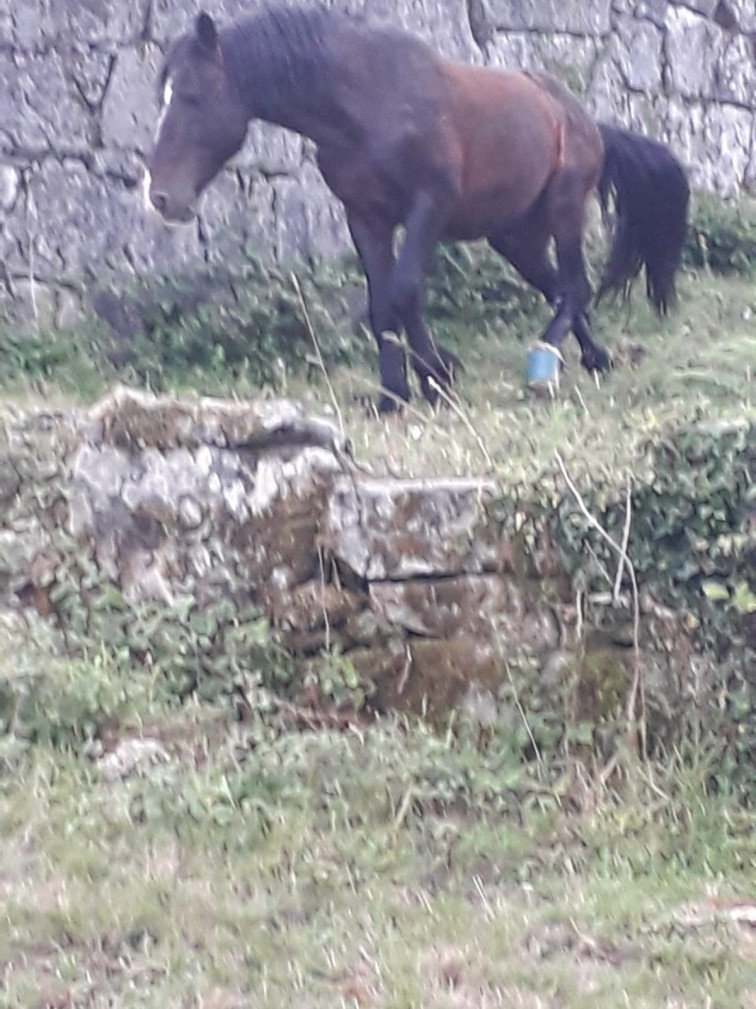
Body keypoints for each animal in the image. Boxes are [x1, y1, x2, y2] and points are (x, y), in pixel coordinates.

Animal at [144, 3, 686, 411]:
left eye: (192, 96)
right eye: (163, 96)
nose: (161, 197)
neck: (366, 102)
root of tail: (583, 119)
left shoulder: (429, 206)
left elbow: (404, 291)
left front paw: (436, 378)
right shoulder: (366, 218)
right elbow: (382, 301)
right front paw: (394, 394)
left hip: (565, 209)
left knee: (575, 286)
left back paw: (543, 364)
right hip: (514, 236)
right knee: (560, 289)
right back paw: (596, 357)